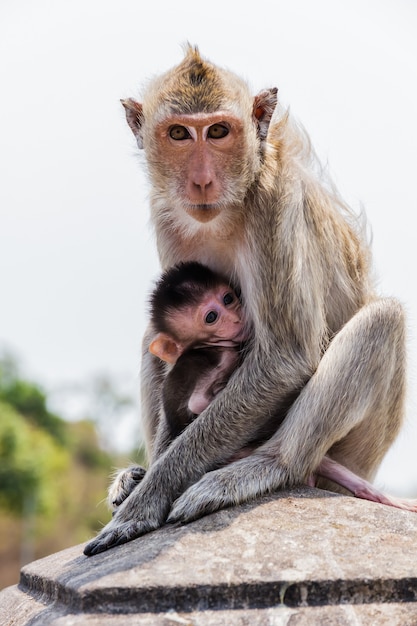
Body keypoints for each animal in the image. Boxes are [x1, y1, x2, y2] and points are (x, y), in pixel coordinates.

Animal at [83, 45, 406, 556]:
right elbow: (169, 336)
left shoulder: (273, 205)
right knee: (153, 336)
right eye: (179, 133)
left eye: (218, 131)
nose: (201, 181)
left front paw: (148, 498)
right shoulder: (167, 214)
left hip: (357, 451)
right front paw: (147, 479)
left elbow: (285, 358)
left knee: (384, 319)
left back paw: (267, 466)